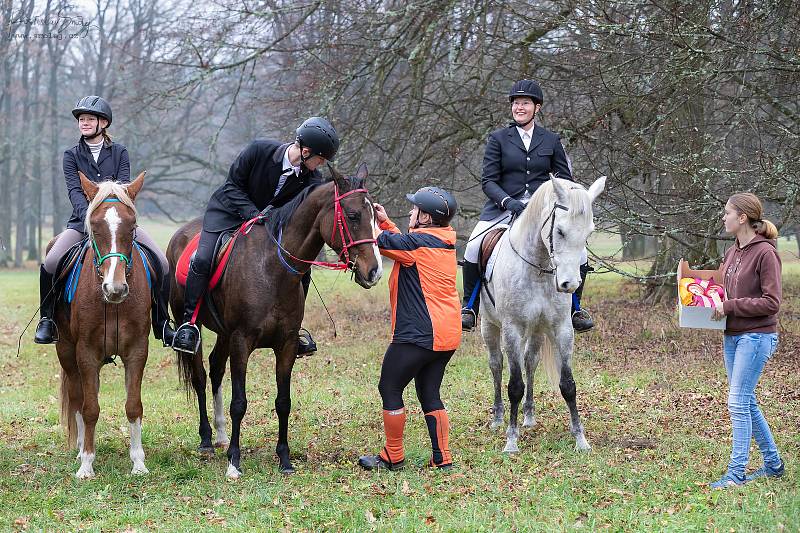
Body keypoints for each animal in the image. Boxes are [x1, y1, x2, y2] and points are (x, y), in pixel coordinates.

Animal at [51, 171, 152, 478]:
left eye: (132, 227)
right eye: (94, 228)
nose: (114, 288)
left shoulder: (137, 351)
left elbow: (133, 405)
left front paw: (138, 462)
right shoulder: (85, 353)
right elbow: (90, 408)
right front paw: (86, 464)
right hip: (66, 351)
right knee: (78, 397)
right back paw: (81, 448)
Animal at [167, 162, 382, 474]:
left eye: (375, 216)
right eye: (353, 216)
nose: (374, 272)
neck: (271, 268)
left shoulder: (287, 344)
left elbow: (283, 402)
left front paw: (284, 459)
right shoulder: (242, 341)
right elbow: (239, 403)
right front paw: (234, 460)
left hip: (224, 334)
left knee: (216, 368)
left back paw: (220, 434)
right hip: (197, 329)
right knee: (199, 377)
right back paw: (207, 439)